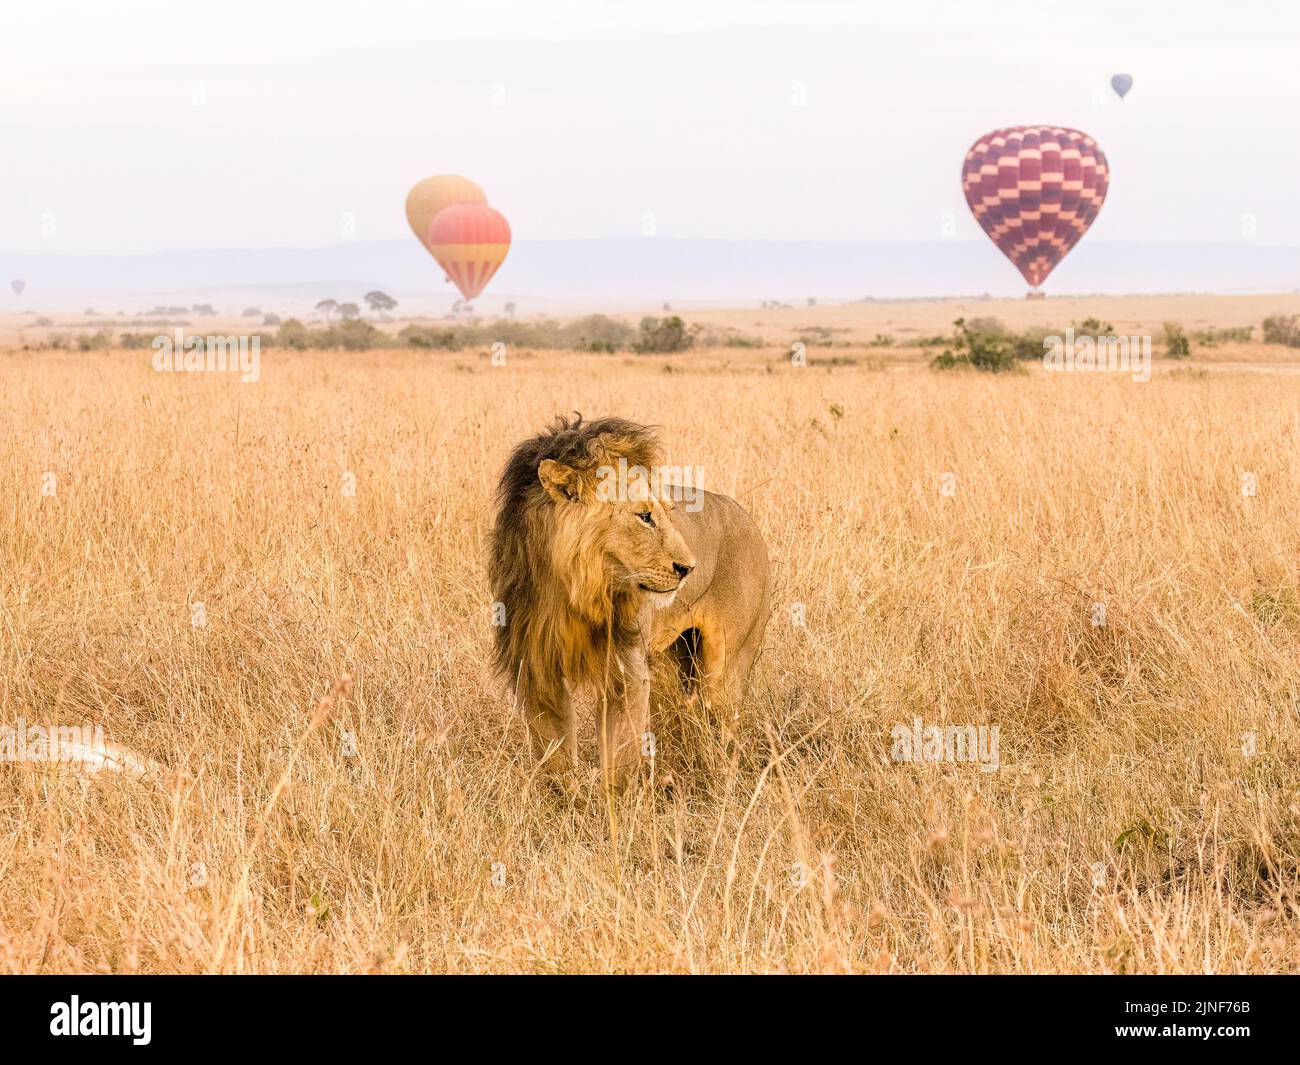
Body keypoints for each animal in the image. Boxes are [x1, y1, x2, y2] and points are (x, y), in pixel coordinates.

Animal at [489, 414, 771, 787]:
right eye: (645, 517)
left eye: (667, 513)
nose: (688, 568)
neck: (576, 591)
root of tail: (747, 518)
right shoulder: (537, 669)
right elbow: (554, 758)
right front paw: (564, 797)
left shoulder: (626, 671)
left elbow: (619, 761)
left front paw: (614, 801)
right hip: (673, 661)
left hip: (725, 669)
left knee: (724, 730)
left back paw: (721, 782)